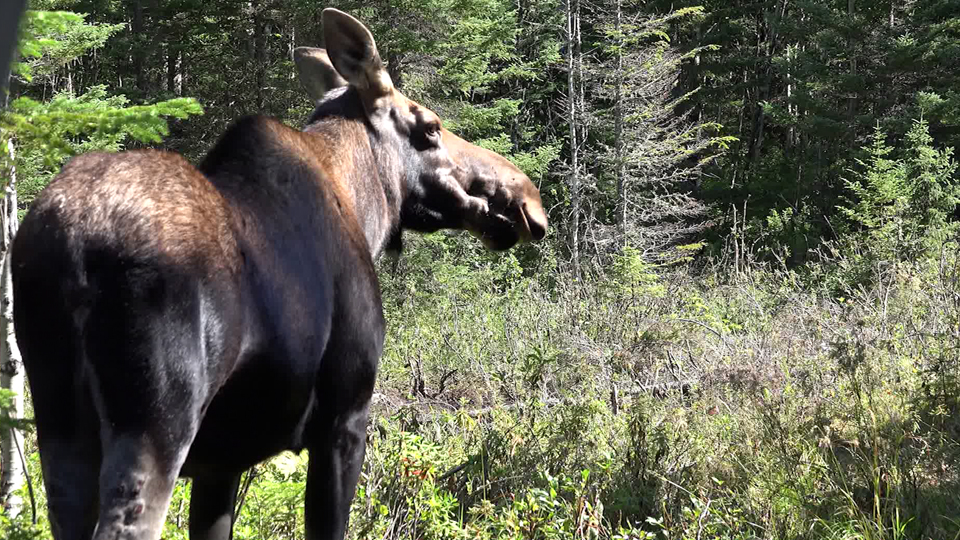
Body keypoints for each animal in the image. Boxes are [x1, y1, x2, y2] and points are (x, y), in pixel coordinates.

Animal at [11, 8, 548, 540]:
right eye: (431, 128)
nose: (528, 198)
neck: (366, 207)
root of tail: (74, 248)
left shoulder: (221, 461)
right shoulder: (344, 418)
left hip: (60, 430)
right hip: (156, 425)